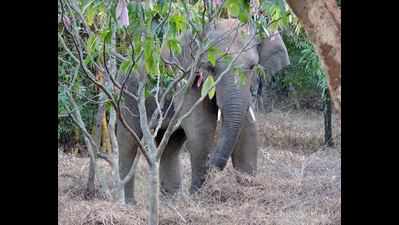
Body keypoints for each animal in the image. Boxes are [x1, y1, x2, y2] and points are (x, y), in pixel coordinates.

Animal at [115, 18, 290, 205]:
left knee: (171, 144)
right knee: (129, 142)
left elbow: (247, 129)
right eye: (210, 67)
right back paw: (129, 203)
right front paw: (199, 196)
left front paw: (247, 188)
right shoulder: (185, 79)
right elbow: (201, 127)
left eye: (252, 67)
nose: (213, 171)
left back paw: (171, 200)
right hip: (127, 96)